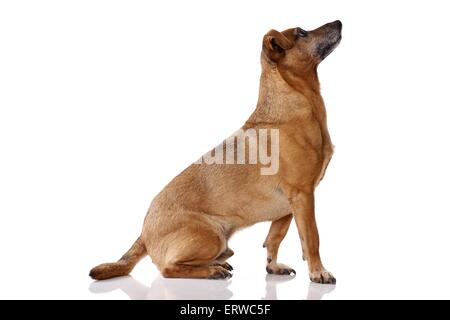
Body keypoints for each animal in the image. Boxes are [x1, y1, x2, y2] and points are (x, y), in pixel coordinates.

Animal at [90, 20, 342, 284]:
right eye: (301, 33)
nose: (339, 22)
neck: (295, 101)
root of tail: (143, 233)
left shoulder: (288, 208)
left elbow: (275, 237)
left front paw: (273, 266)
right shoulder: (303, 196)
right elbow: (312, 238)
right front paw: (319, 272)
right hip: (212, 236)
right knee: (168, 269)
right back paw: (212, 271)